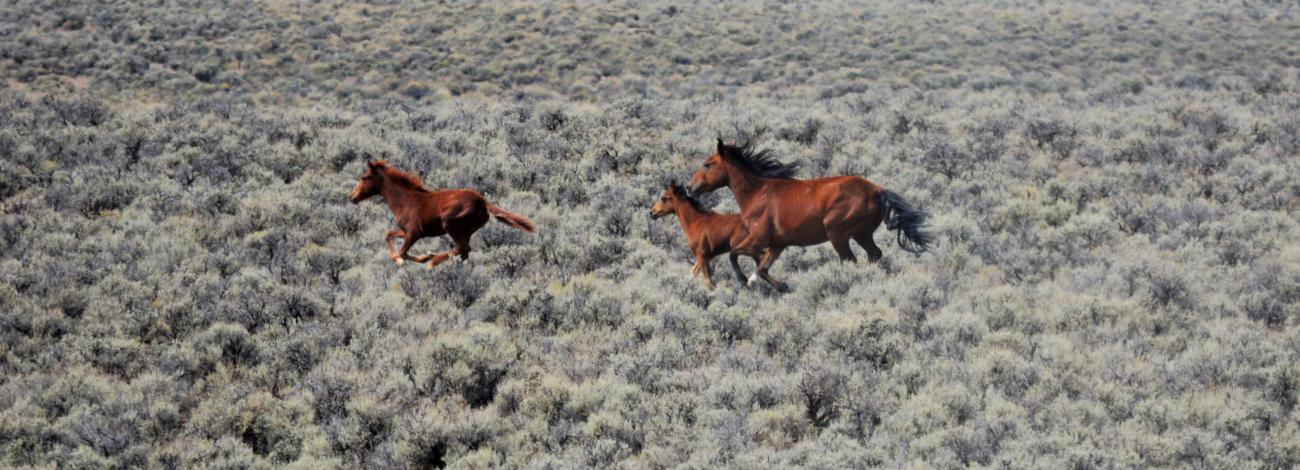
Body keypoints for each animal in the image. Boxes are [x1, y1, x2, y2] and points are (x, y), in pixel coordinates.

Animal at [348, 159, 535, 270]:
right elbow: (389, 235)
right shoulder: (407, 231)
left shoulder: (414, 233)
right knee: (465, 251)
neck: (405, 200)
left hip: (450, 224)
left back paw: (433, 262)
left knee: (462, 248)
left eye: (364, 177)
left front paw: (423, 258)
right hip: (467, 230)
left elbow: (403, 253)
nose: (352, 197)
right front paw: (420, 256)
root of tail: (483, 202)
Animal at [686, 139, 930, 292]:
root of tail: (877, 189)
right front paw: (778, 286)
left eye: (707, 164)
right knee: (874, 254)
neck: (757, 193)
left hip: (838, 235)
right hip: (862, 234)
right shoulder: (777, 245)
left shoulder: (758, 238)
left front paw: (744, 280)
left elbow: (733, 255)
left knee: (850, 260)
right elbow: (762, 268)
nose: (689, 187)